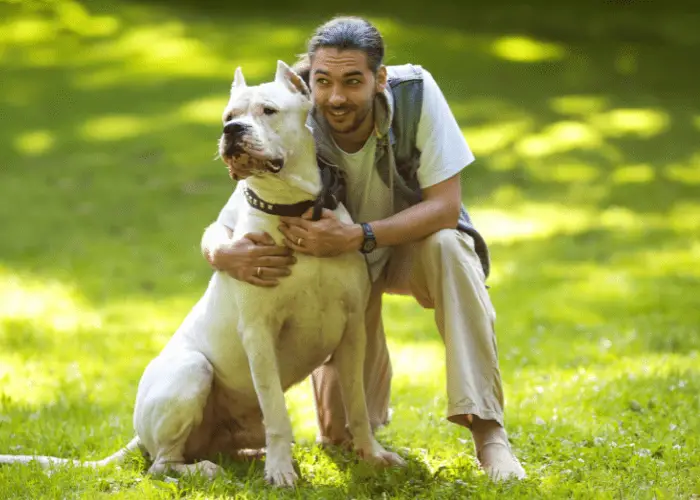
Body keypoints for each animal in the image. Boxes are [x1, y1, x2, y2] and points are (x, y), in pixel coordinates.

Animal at [0, 60, 402, 486]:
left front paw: (372, 454)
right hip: (193, 371)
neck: (292, 208)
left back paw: (251, 455)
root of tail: (138, 435)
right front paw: (280, 472)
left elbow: (357, 403)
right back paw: (211, 469)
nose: (232, 131)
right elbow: (277, 410)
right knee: (161, 465)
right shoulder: (258, 332)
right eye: (228, 116)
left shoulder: (352, 329)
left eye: (268, 110)